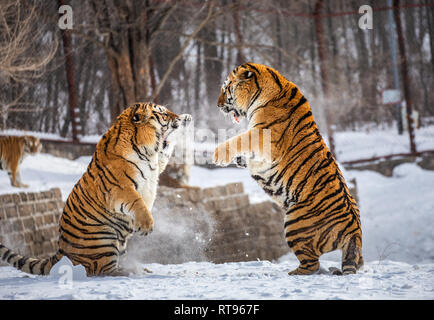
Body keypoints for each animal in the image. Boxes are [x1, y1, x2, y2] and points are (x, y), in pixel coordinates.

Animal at [0, 102, 192, 276]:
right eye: (164, 113)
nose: (181, 117)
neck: (147, 151)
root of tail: (61, 252)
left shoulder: (157, 164)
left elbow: (167, 150)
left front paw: (186, 120)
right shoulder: (121, 188)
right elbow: (137, 201)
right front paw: (146, 225)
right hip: (103, 238)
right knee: (99, 269)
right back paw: (129, 271)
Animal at [214, 62, 362, 276]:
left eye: (226, 88)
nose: (217, 105)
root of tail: (355, 231)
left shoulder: (263, 136)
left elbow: (240, 138)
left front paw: (219, 155)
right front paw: (239, 159)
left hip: (295, 222)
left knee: (312, 265)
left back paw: (293, 273)